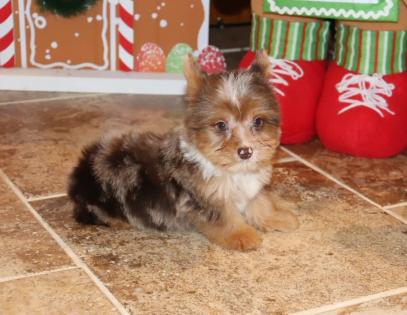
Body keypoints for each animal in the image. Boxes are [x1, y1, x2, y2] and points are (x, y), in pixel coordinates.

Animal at [68, 52, 300, 252]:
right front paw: (243, 235)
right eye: (221, 125)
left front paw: (276, 217)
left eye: (258, 122)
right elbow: (224, 216)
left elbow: (258, 201)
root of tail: (79, 174)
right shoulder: (203, 199)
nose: (246, 152)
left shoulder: (251, 188)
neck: (232, 170)